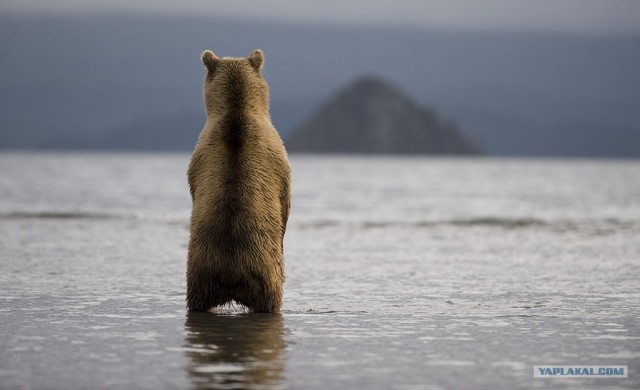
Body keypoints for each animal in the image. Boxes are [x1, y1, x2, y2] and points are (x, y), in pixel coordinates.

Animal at [186, 49, 292, 314]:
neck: (237, 110)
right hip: (266, 276)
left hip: (200, 274)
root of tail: (231, 272)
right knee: (272, 298)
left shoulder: (199, 156)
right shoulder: (278, 155)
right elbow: (285, 203)